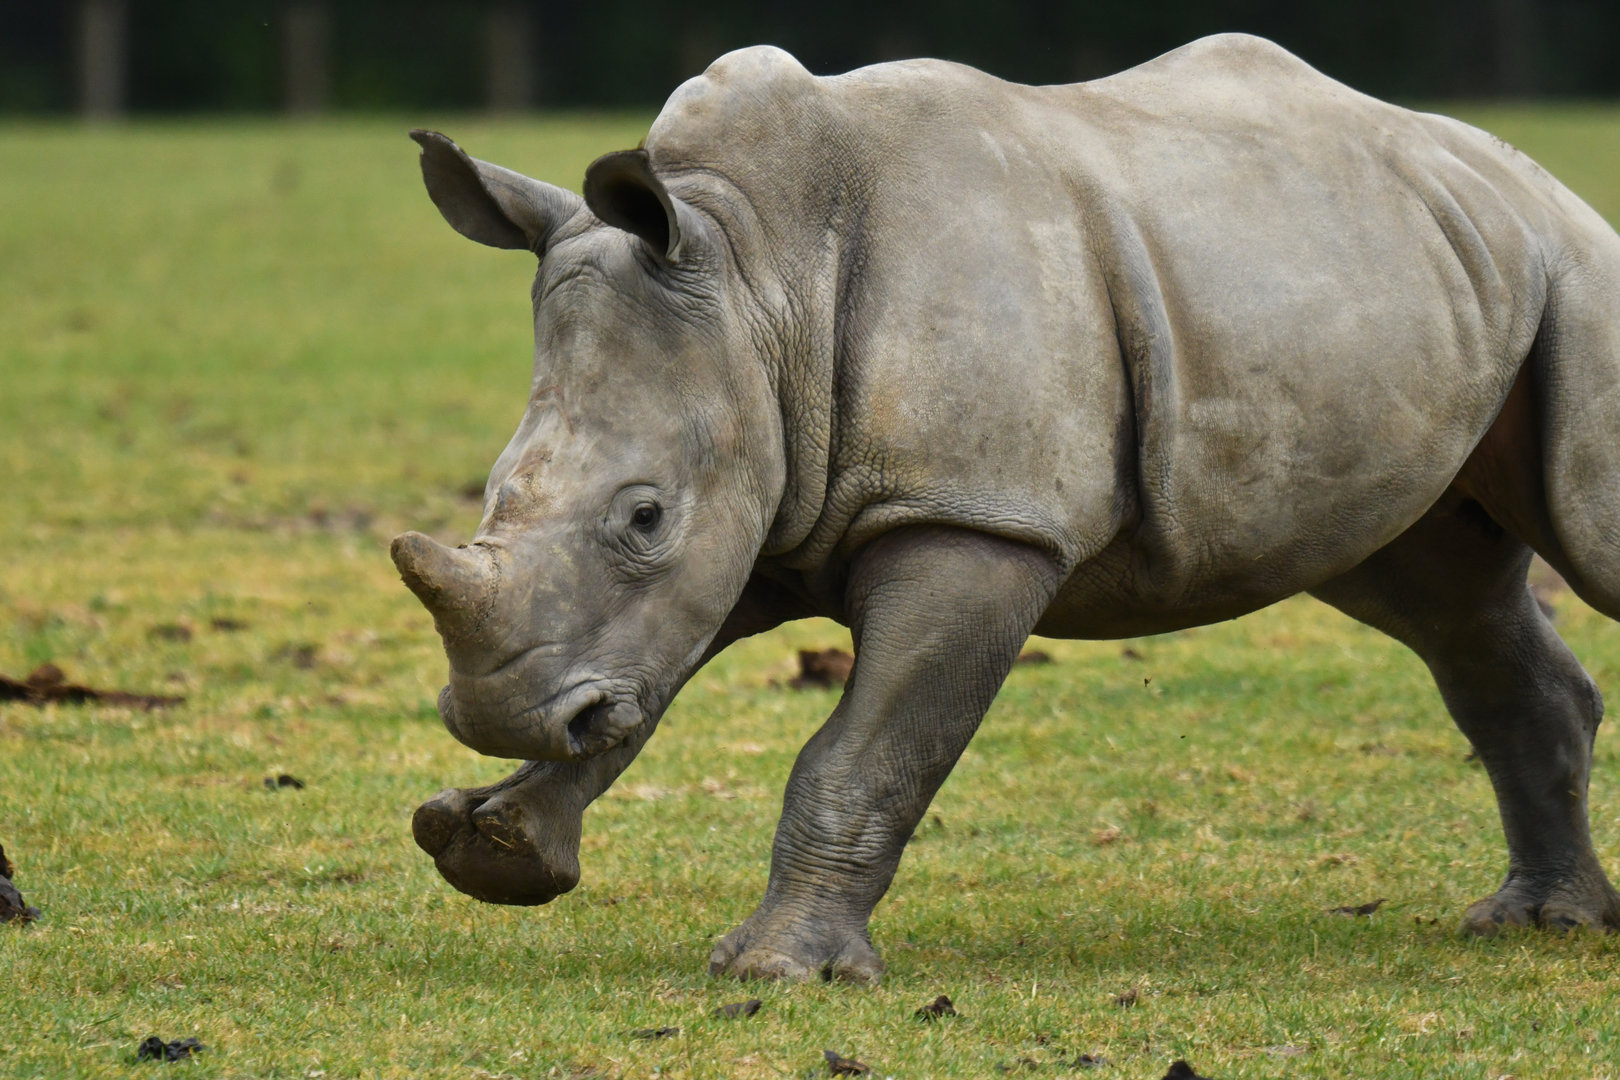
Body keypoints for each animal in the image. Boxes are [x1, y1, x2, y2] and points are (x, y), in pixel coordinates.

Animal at [394, 33, 1620, 981]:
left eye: (645, 517)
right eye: (494, 492)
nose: (497, 712)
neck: (760, 274)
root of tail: (1524, 178)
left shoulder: (975, 517)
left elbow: (867, 749)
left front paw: (777, 969)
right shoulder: (765, 498)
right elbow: (646, 681)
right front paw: (494, 847)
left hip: (1575, 273)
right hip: (1425, 286)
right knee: (1445, 604)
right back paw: (1538, 924)